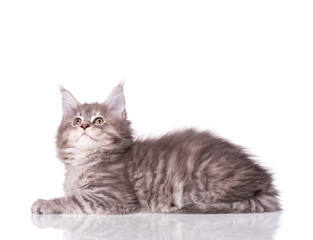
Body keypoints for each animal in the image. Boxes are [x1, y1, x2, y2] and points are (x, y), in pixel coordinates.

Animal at [31, 84, 280, 214]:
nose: (84, 126)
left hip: (199, 186)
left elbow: (74, 200)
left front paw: (43, 203)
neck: (87, 159)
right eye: (76, 121)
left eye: (98, 121)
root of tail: (263, 179)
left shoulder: (113, 197)